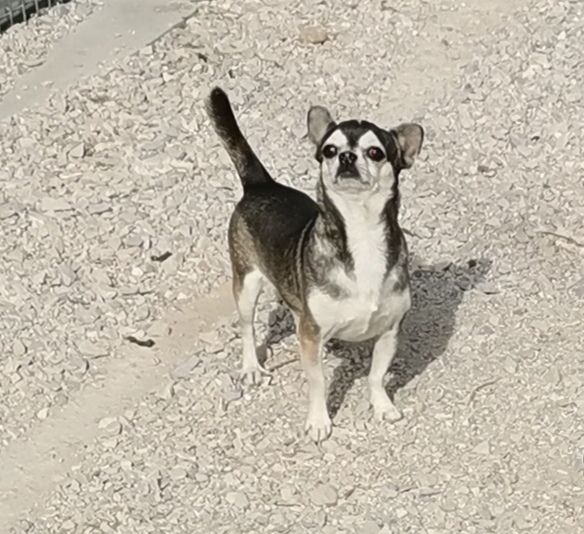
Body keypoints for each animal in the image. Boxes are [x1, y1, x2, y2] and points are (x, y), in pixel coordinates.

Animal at [206, 88, 424, 442]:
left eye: (375, 152)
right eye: (329, 150)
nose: (346, 157)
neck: (360, 231)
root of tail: (260, 184)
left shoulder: (390, 330)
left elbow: (377, 374)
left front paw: (382, 406)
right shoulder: (311, 337)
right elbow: (318, 382)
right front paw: (319, 421)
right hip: (246, 283)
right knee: (247, 327)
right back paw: (251, 367)